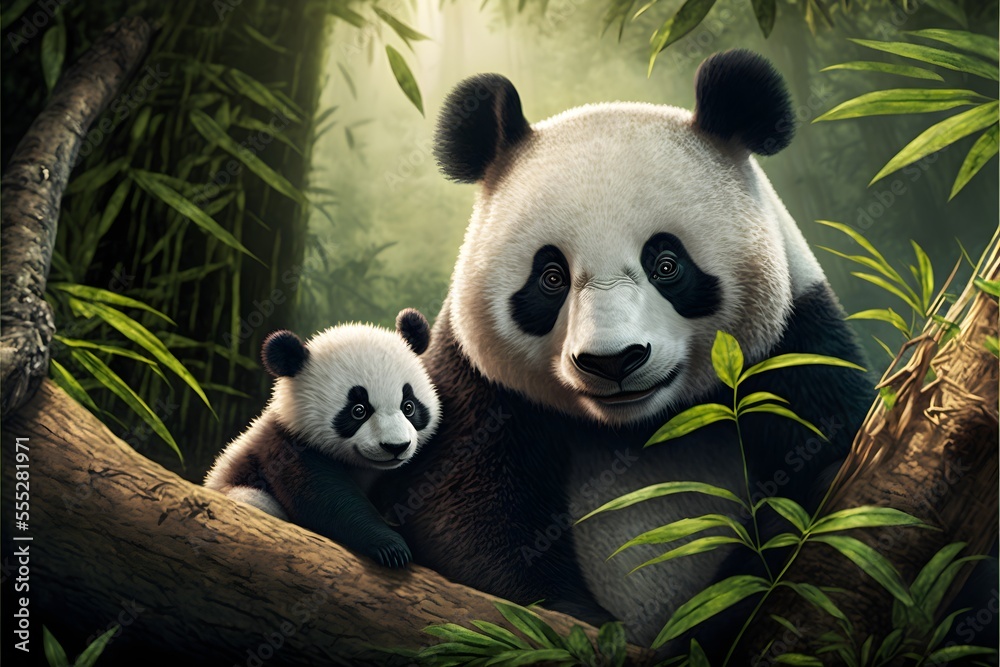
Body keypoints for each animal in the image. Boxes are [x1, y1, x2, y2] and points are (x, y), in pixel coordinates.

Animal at [205, 308, 441, 568]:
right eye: (358, 410)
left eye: (409, 406)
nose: (396, 446)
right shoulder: (285, 450)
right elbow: (326, 500)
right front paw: (392, 547)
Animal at [373, 49, 873, 645]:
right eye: (551, 277)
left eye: (667, 264)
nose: (612, 361)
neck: (637, 429)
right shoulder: (475, 389)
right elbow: (462, 516)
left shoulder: (796, 353)